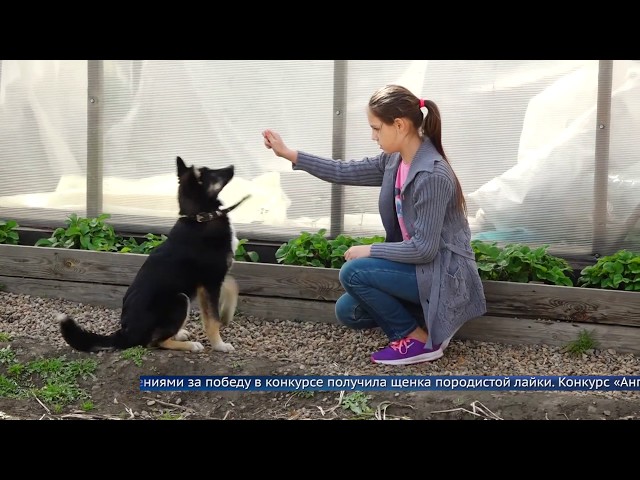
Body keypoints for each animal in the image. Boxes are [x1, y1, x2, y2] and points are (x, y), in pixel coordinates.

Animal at [58, 157, 248, 352]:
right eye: (212, 173)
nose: (232, 167)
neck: (200, 218)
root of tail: (126, 333)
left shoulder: (213, 278)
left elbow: (233, 285)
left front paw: (226, 313)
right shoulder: (210, 282)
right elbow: (212, 320)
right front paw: (220, 345)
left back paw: (180, 334)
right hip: (180, 299)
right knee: (155, 342)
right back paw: (189, 345)